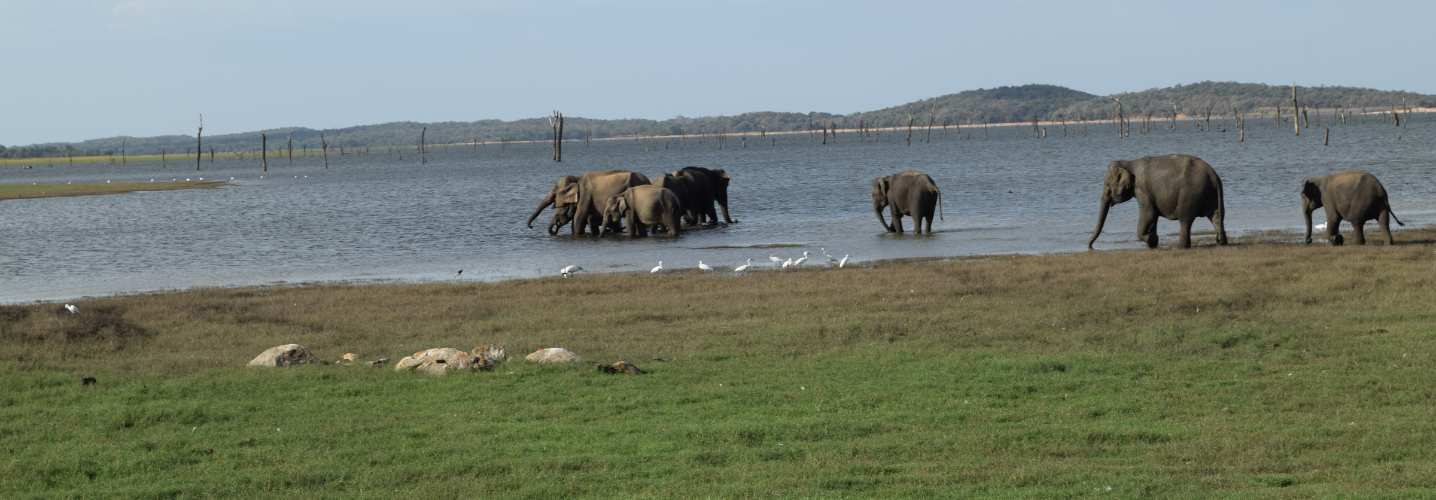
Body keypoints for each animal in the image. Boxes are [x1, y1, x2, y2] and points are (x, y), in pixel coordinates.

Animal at [1088, 154, 1227, 250]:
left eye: (1107, 184)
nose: (1090, 247)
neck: (1129, 163)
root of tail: (1214, 177)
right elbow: (1153, 216)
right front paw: (1152, 242)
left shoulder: (1142, 189)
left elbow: (1149, 213)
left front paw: (1151, 238)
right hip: (1211, 196)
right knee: (1217, 217)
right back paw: (1221, 243)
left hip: (1190, 193)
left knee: (1185, 219)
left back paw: (1181, 247)